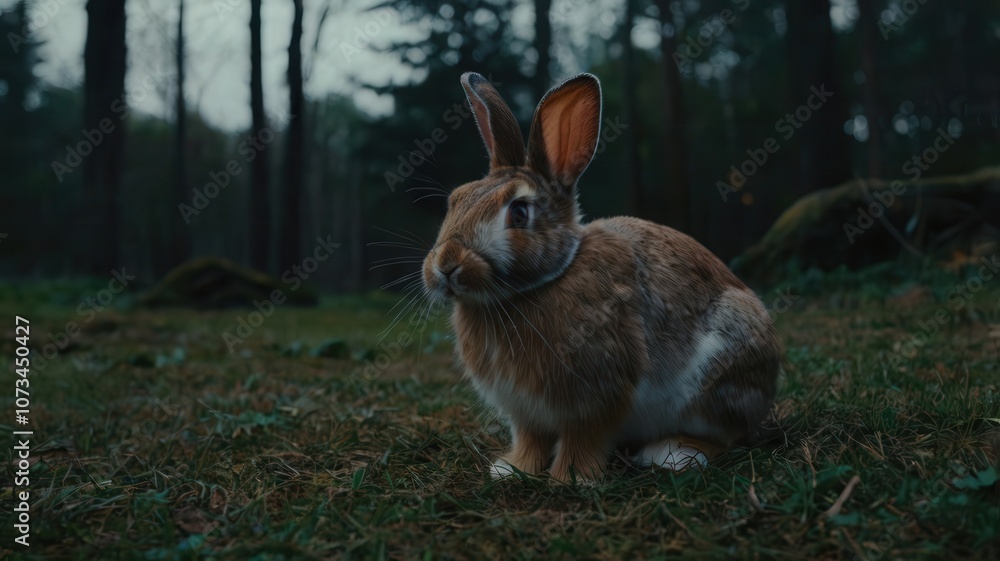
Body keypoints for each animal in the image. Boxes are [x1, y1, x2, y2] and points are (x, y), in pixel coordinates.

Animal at [421, 71, 781, 482]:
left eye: (519, 212)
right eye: (456, 199)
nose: (446, 264)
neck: (535, 286)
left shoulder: (596, 396)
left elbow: (584, 438)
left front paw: (571, 479)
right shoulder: (525, 412)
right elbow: (530, 439)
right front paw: (511, 470)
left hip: (716, 381)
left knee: (727, 437)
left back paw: (672, 454)